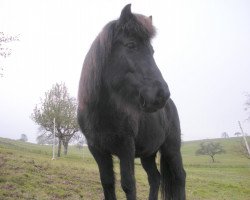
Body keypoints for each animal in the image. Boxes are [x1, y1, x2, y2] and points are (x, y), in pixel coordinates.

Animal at [77, 3, 186, 199]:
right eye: (131, 45)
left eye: (152, 51)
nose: (162, 94)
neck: (102, 111)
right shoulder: (97, 150)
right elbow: (107, 183)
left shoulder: (126, 148)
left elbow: (129, 185)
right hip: (148, 154)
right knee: (155, 178)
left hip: (172, 148)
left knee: (180, 177)